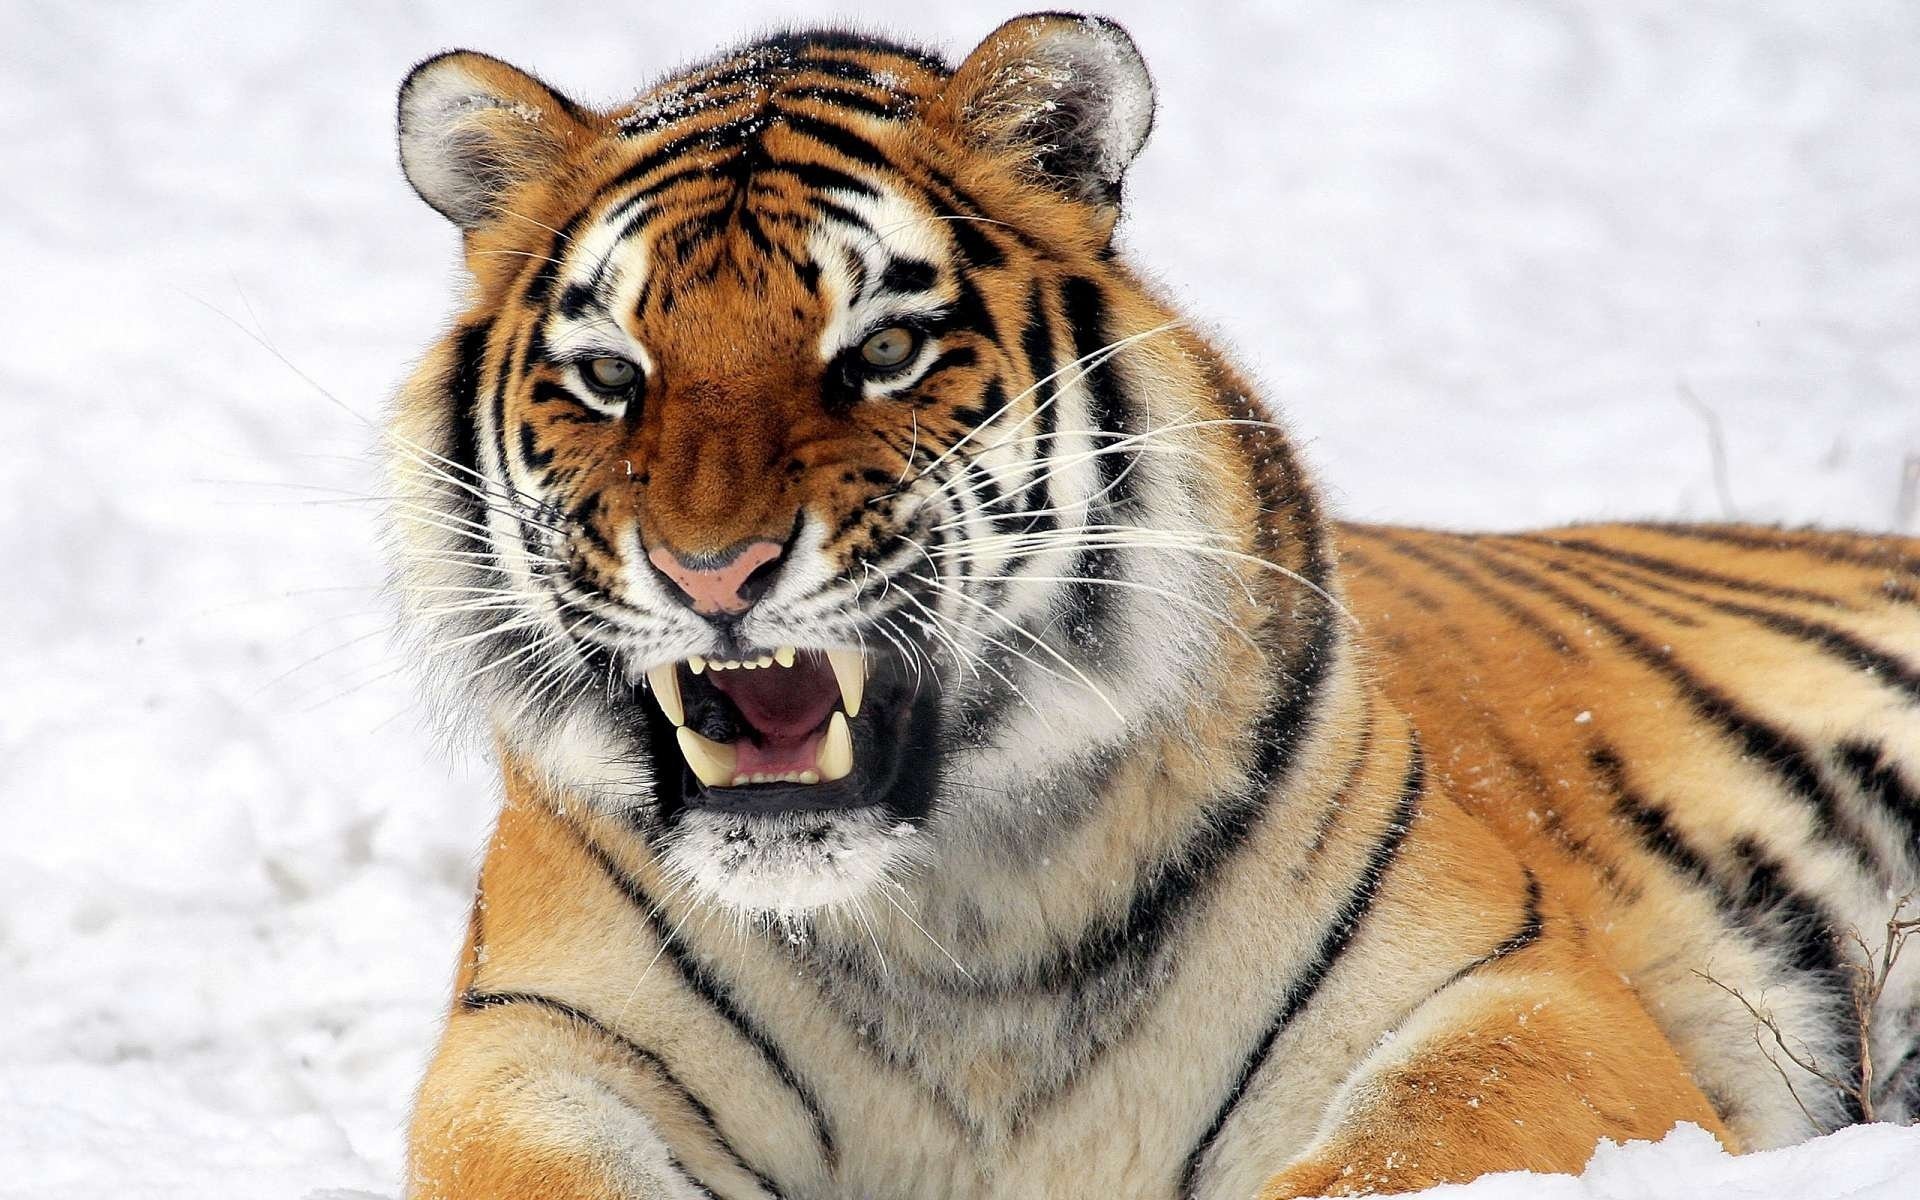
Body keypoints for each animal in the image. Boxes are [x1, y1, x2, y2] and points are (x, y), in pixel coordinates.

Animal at [383, 13, 1920, 1199]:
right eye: (609, 375)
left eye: (882, 350)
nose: (712, 572)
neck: (947, 928)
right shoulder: (533, 1046)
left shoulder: (1520, 997)